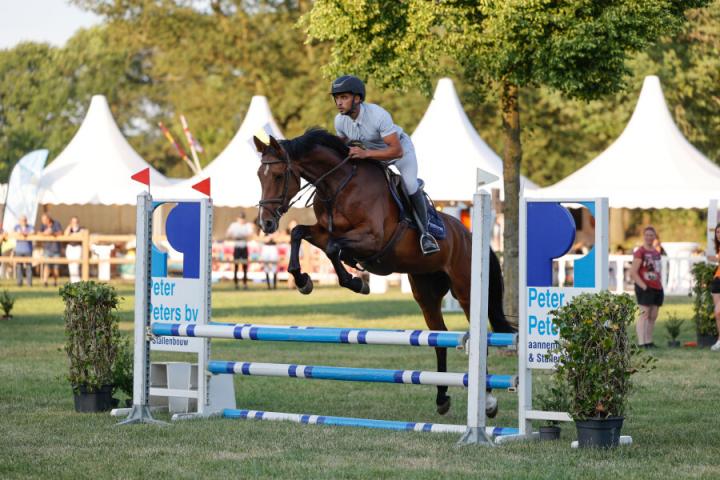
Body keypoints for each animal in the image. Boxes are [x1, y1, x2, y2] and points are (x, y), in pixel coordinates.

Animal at [253, 128, 516, 416]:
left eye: (278, 175)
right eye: (259, 175)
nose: (266, 223)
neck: (338, 186)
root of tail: (468, 234)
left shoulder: (372, 239)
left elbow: (334, 248)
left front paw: (355, 282)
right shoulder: (324, 232)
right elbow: (299, 233)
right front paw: (303, 280)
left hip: (465, 290)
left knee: (479, 339)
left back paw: (488, 402)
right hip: (426, 293)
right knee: (439, 338)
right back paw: (442, 398)